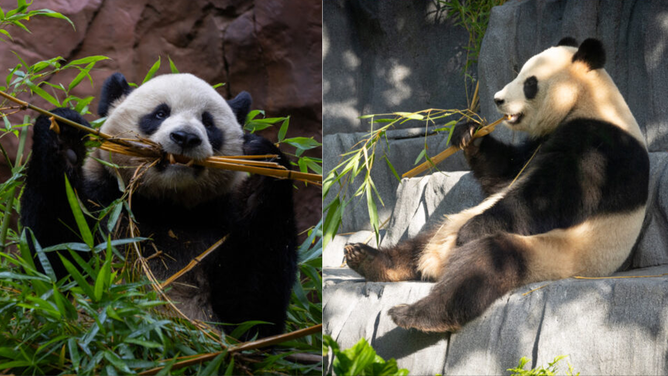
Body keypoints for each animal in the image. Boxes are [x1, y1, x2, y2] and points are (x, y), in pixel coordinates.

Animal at [21, 72, 298, 338]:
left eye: (208, 123)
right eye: (160, 113)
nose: (186, 137)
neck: (166, 205)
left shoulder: (221, 218)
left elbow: (253, 311)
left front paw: (266, 165)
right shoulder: (103, 201)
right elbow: (55, 264)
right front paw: (64, 135)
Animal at [344, 37, 648, 332]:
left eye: (530, 83)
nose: (498, 99)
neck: (593, 101)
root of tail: (437, 263)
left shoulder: (598, 148)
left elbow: (548, 197)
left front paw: (471, 232)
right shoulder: (539, 143)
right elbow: (505, 173)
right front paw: (468, 134)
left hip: (554, 254)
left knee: (485, 263)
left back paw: (418, 314)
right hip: (451, 227)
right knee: (422, 240)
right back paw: (369, 259)